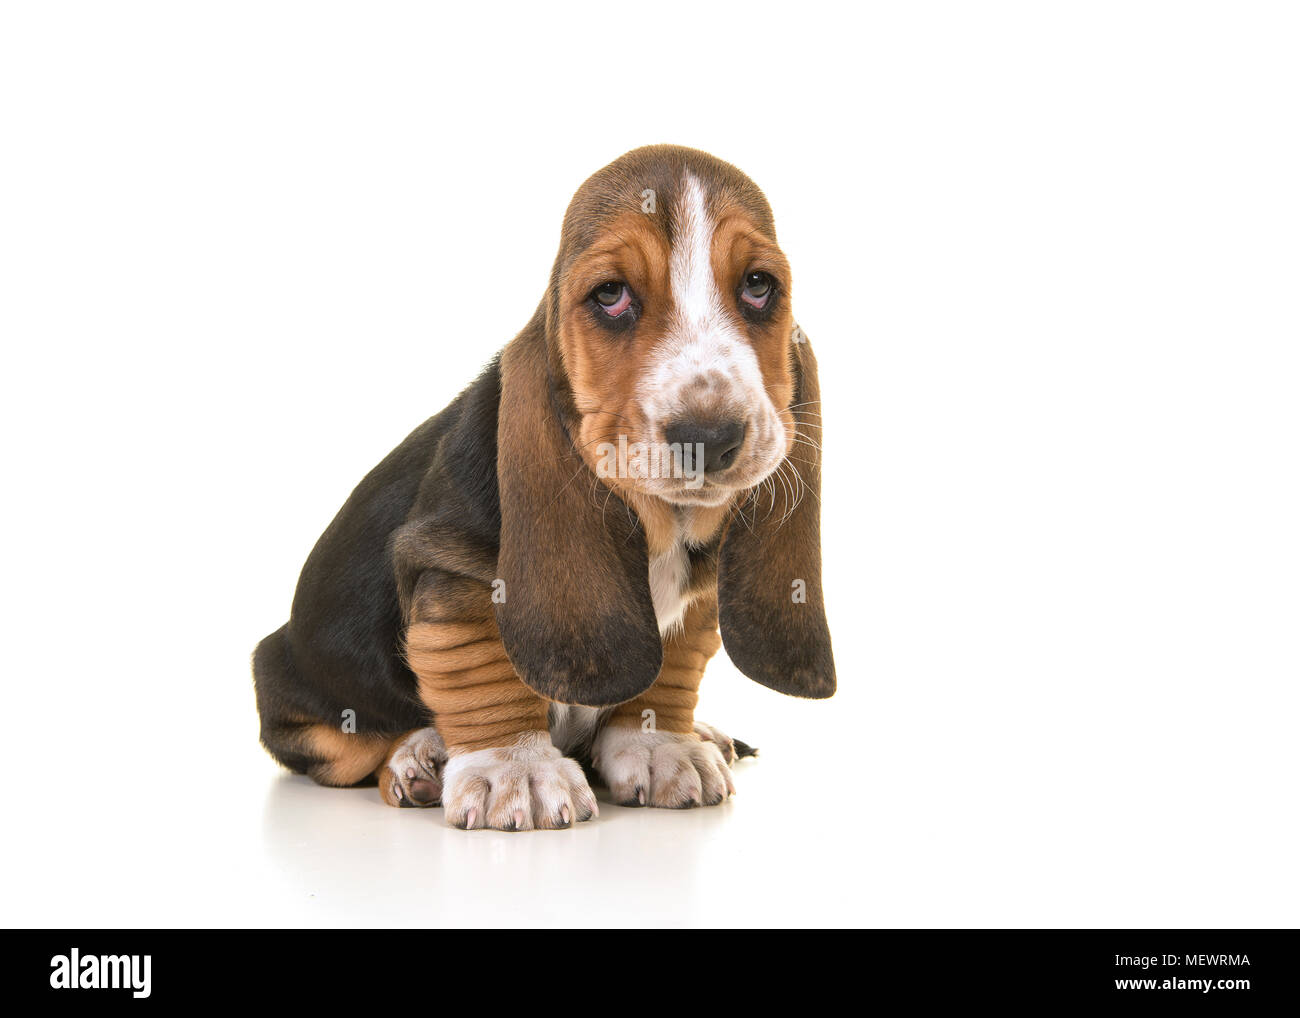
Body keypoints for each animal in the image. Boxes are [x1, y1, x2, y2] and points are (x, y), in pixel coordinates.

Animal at [253, 141, 837, 826]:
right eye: (611, 295)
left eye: (758, 286)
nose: (709, 435)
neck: (661, 519)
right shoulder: (450, 571)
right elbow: (483, 671)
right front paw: (517, 769)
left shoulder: (698, 603)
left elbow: (669, 673)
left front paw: (661, 744)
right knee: (351, 748)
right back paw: (416, 757)